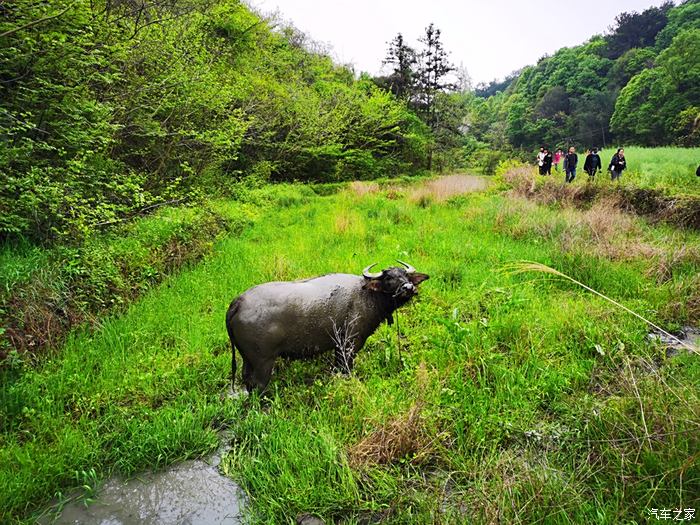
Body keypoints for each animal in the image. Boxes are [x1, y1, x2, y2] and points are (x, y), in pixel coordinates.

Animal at [227, 260, 430, 390]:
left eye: (405, 275)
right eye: (388, 278)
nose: (409, 288)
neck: (366, 295)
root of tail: (238, 301)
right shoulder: (349, 345)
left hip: (248, 361)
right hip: (263, 363)